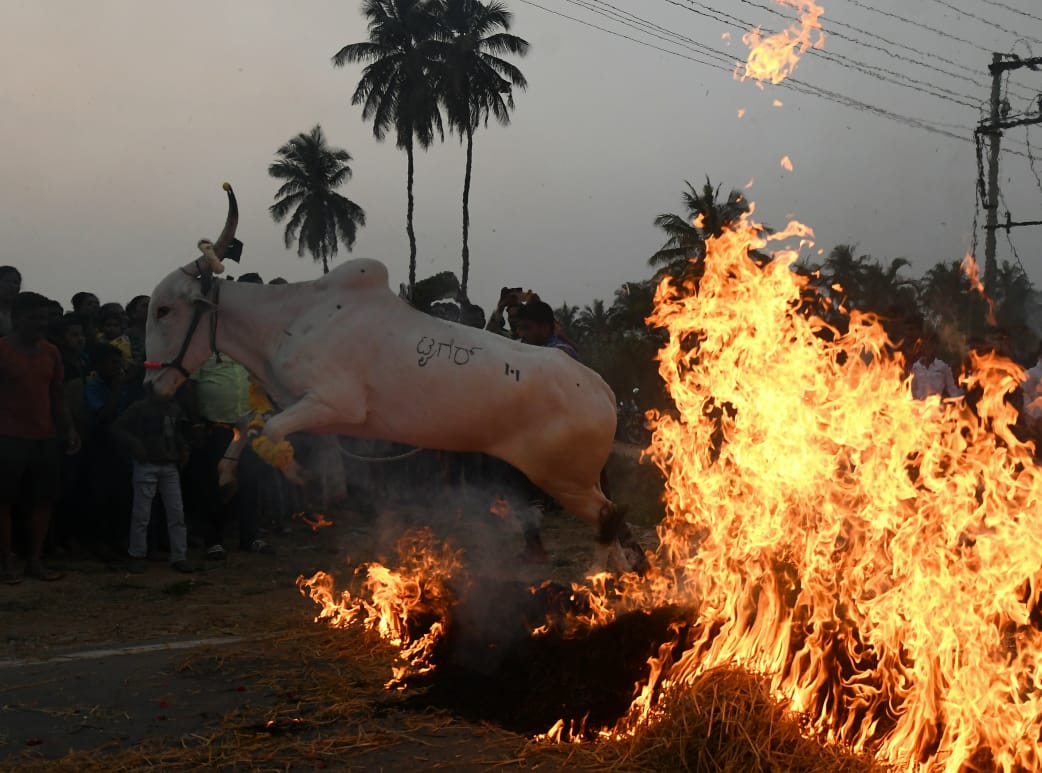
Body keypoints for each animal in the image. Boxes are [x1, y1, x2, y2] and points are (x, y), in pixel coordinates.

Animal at [142, 188, 646, 575]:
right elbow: (248, 425)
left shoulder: (335, 405)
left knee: (608, 521)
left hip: (564, 479)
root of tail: (601, 389)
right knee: (615, 524)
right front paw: (227, 474)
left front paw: (296, 474)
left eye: (164, 309)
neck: (289, 319)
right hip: (571, 478)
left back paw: (598, 581)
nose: (152, 386)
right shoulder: (298, 405)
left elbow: (269, 430)